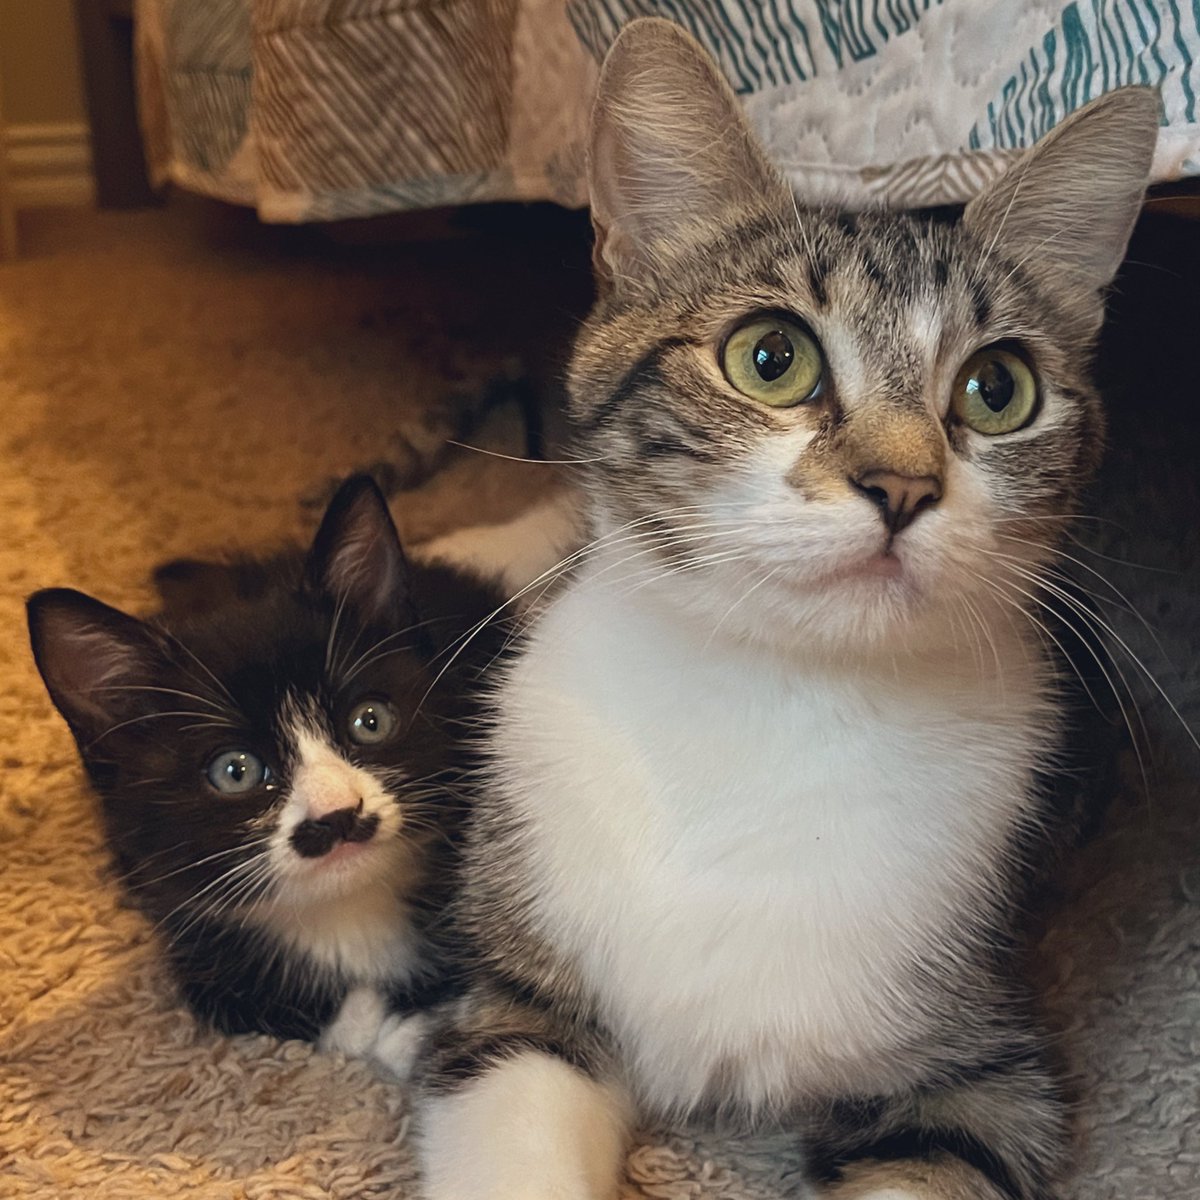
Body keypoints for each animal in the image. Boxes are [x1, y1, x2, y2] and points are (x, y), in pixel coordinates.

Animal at [28, 472, 506, 1075]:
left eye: (370, 721)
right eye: (235, 771)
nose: (339, 814)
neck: (346, 913)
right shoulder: (188, 933)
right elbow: (286, 1011)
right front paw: (392, 1027)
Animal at [410, 18, 1152, 1200]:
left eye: (1000, 389)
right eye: (771, 357)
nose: (903, 485)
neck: (772, 702)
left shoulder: (982, 1078)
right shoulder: (514, 996)